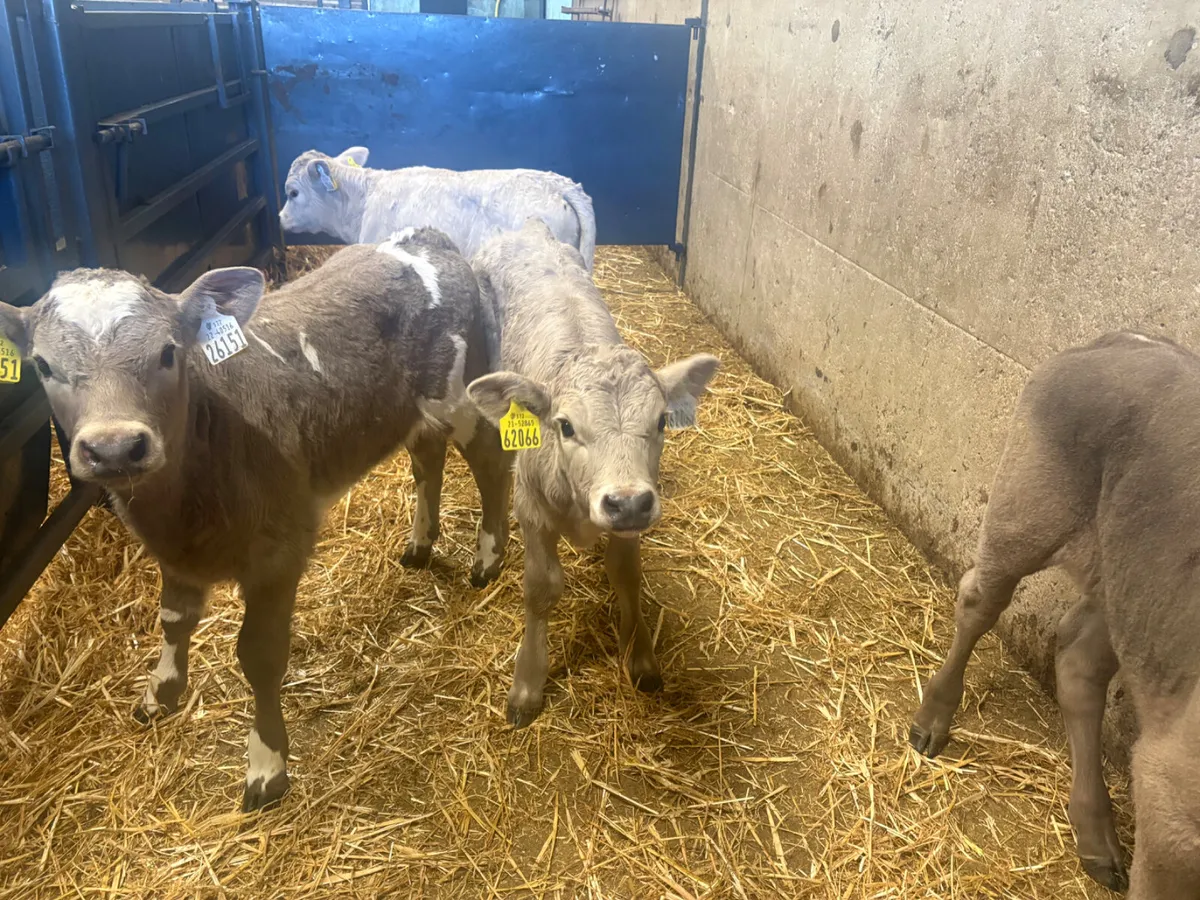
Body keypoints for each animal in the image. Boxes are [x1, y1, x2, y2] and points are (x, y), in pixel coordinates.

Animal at [0, 228, 511, 811]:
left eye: (168, 352)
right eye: (43, 366)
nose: (114, 448)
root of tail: (424, 238)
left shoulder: (278, 552)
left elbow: (259, 656)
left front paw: (267, 764)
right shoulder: (173, 552)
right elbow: (173, 619)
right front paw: (161, 691)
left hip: (459, 394)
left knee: (491, 460)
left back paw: (488, 557)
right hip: (411, 412)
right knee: (427, 457)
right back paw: (421, 544)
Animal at [465, 220, 719, 728]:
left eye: (661, 422)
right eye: (565, 426)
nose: (626, 502)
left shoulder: (633, 515)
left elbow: (627, 575)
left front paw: (640, 657)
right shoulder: (533, 509)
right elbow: (541, 588)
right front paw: (527, 685)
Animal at [910, 332, 1200, 897]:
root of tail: (1131, 337)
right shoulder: (1170, 801)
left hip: (1127, 588)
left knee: (1078, 661)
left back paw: (1097, 835)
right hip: (1028, 508)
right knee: (979, 599)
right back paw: (932, 719)